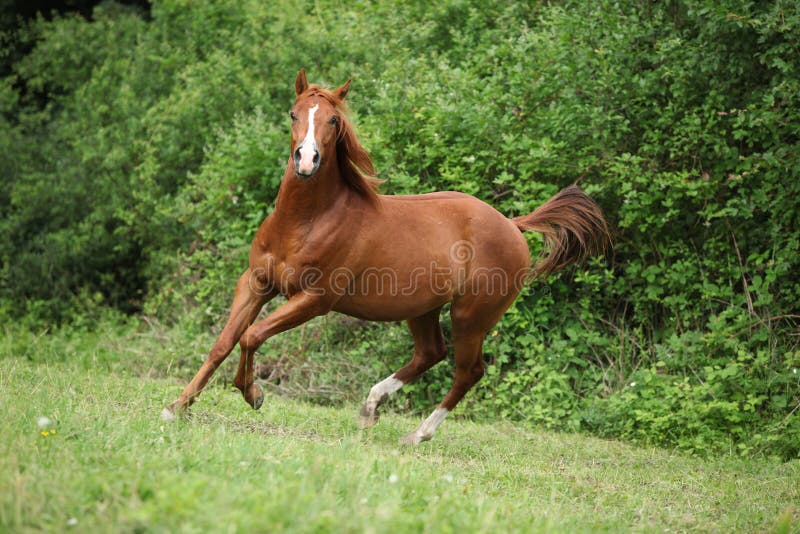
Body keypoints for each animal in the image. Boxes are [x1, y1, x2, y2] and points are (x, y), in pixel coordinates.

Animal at [162, 69, 610, 445]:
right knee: (431, 353)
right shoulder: (256, 282)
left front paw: (252, 394)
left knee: (468, 371)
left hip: (471, 316)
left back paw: (416, 435)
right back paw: (370, 407)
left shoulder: (314, 300)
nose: (306, 160)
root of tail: (513, 225)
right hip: (423, 309)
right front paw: (176, 407)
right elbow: (223, 342)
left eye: (333, 121)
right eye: (293, 114)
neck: (305, 221)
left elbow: (251, 336)